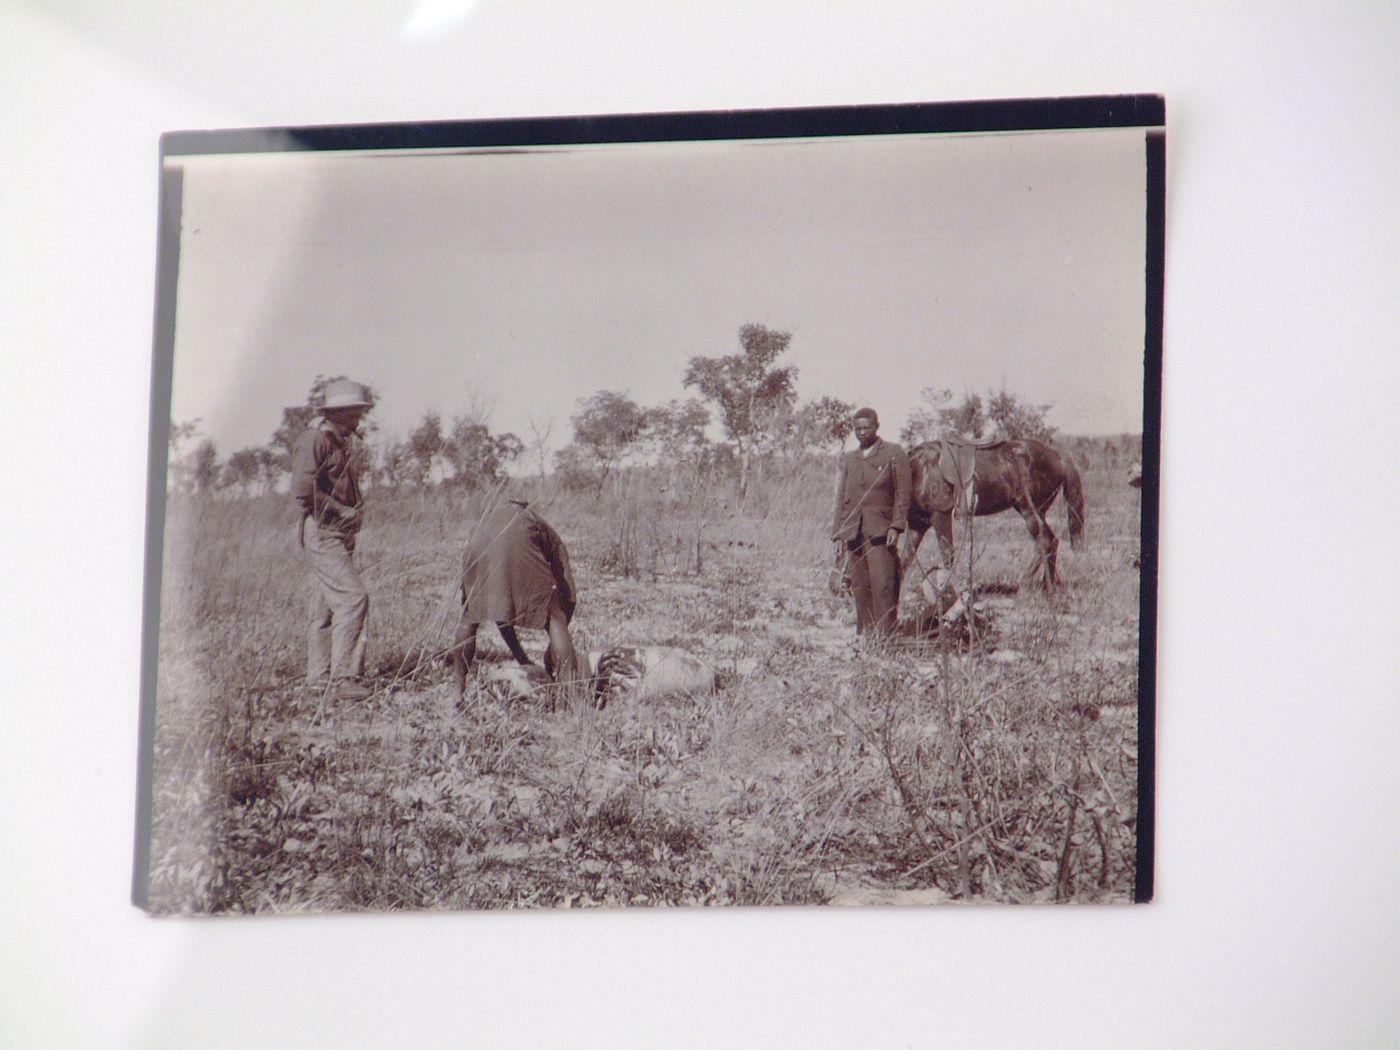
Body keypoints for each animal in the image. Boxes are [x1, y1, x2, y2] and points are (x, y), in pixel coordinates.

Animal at [901, 439, 1086, 596]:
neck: (921, 469)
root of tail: (1058, 458)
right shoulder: (917, 524)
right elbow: (905, 558)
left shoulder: (941, 515)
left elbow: (947, 554)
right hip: (1038, 511)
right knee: (1052, 542)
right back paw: (1048, 587)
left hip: (1030, 512)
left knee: (1045, 542)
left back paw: (1026, 585)